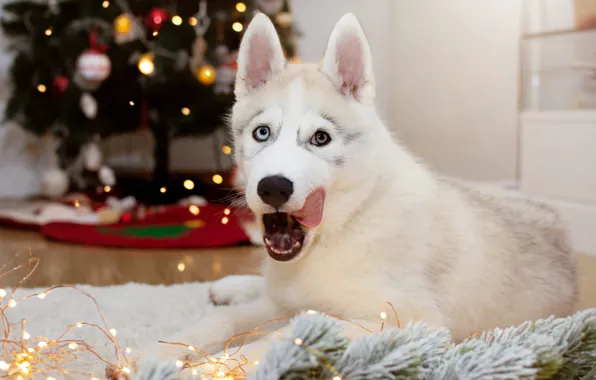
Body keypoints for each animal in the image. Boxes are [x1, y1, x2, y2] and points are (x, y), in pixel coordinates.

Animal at [116, 12, 576, 380]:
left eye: (320, 138)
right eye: (262, 133)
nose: (273, 187)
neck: (344, 228)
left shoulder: (411, 321)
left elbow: (282, 338)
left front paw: (203, 369)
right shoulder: (289, 298)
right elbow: (224, 322)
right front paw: (152, 353)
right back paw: (230, 286)